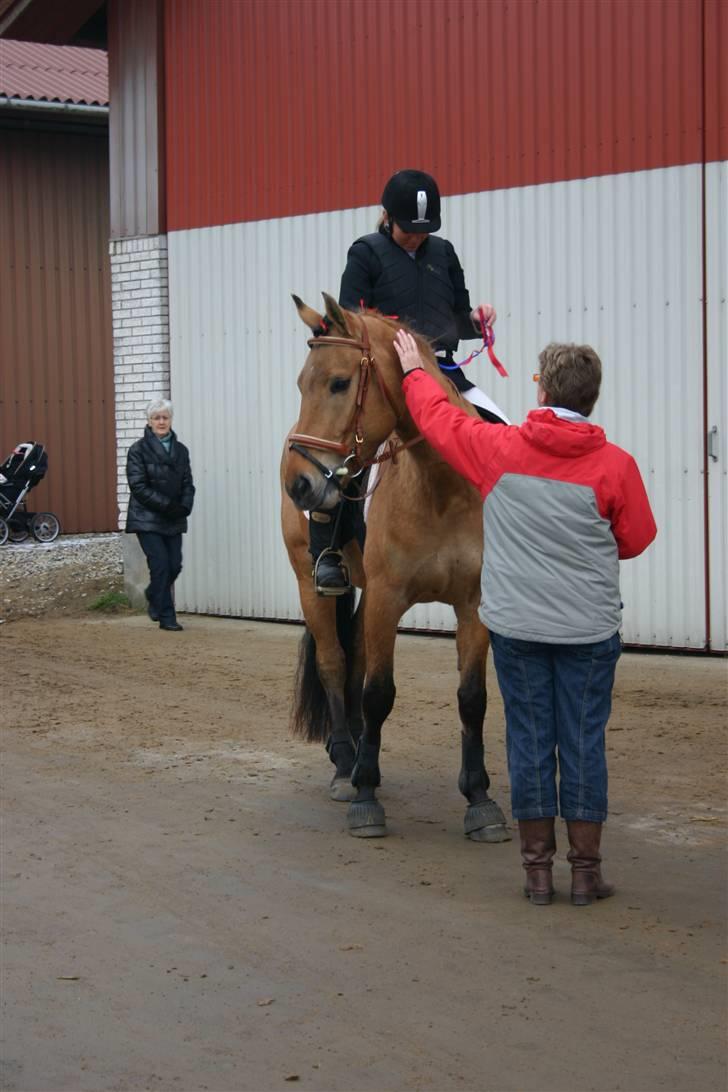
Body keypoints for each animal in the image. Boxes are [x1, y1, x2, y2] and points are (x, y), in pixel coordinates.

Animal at [281, 292, 510, 843]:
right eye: (301, 383)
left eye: (339, 382)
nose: (298, 483)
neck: (441, 486)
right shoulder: (387, 599)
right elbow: (378, 692)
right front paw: (365, 796)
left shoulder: (473, 604)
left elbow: (472, 697)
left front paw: (480, 798)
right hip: (310, 583)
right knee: (335, 663)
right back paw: (346, 766)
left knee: (356, 659)